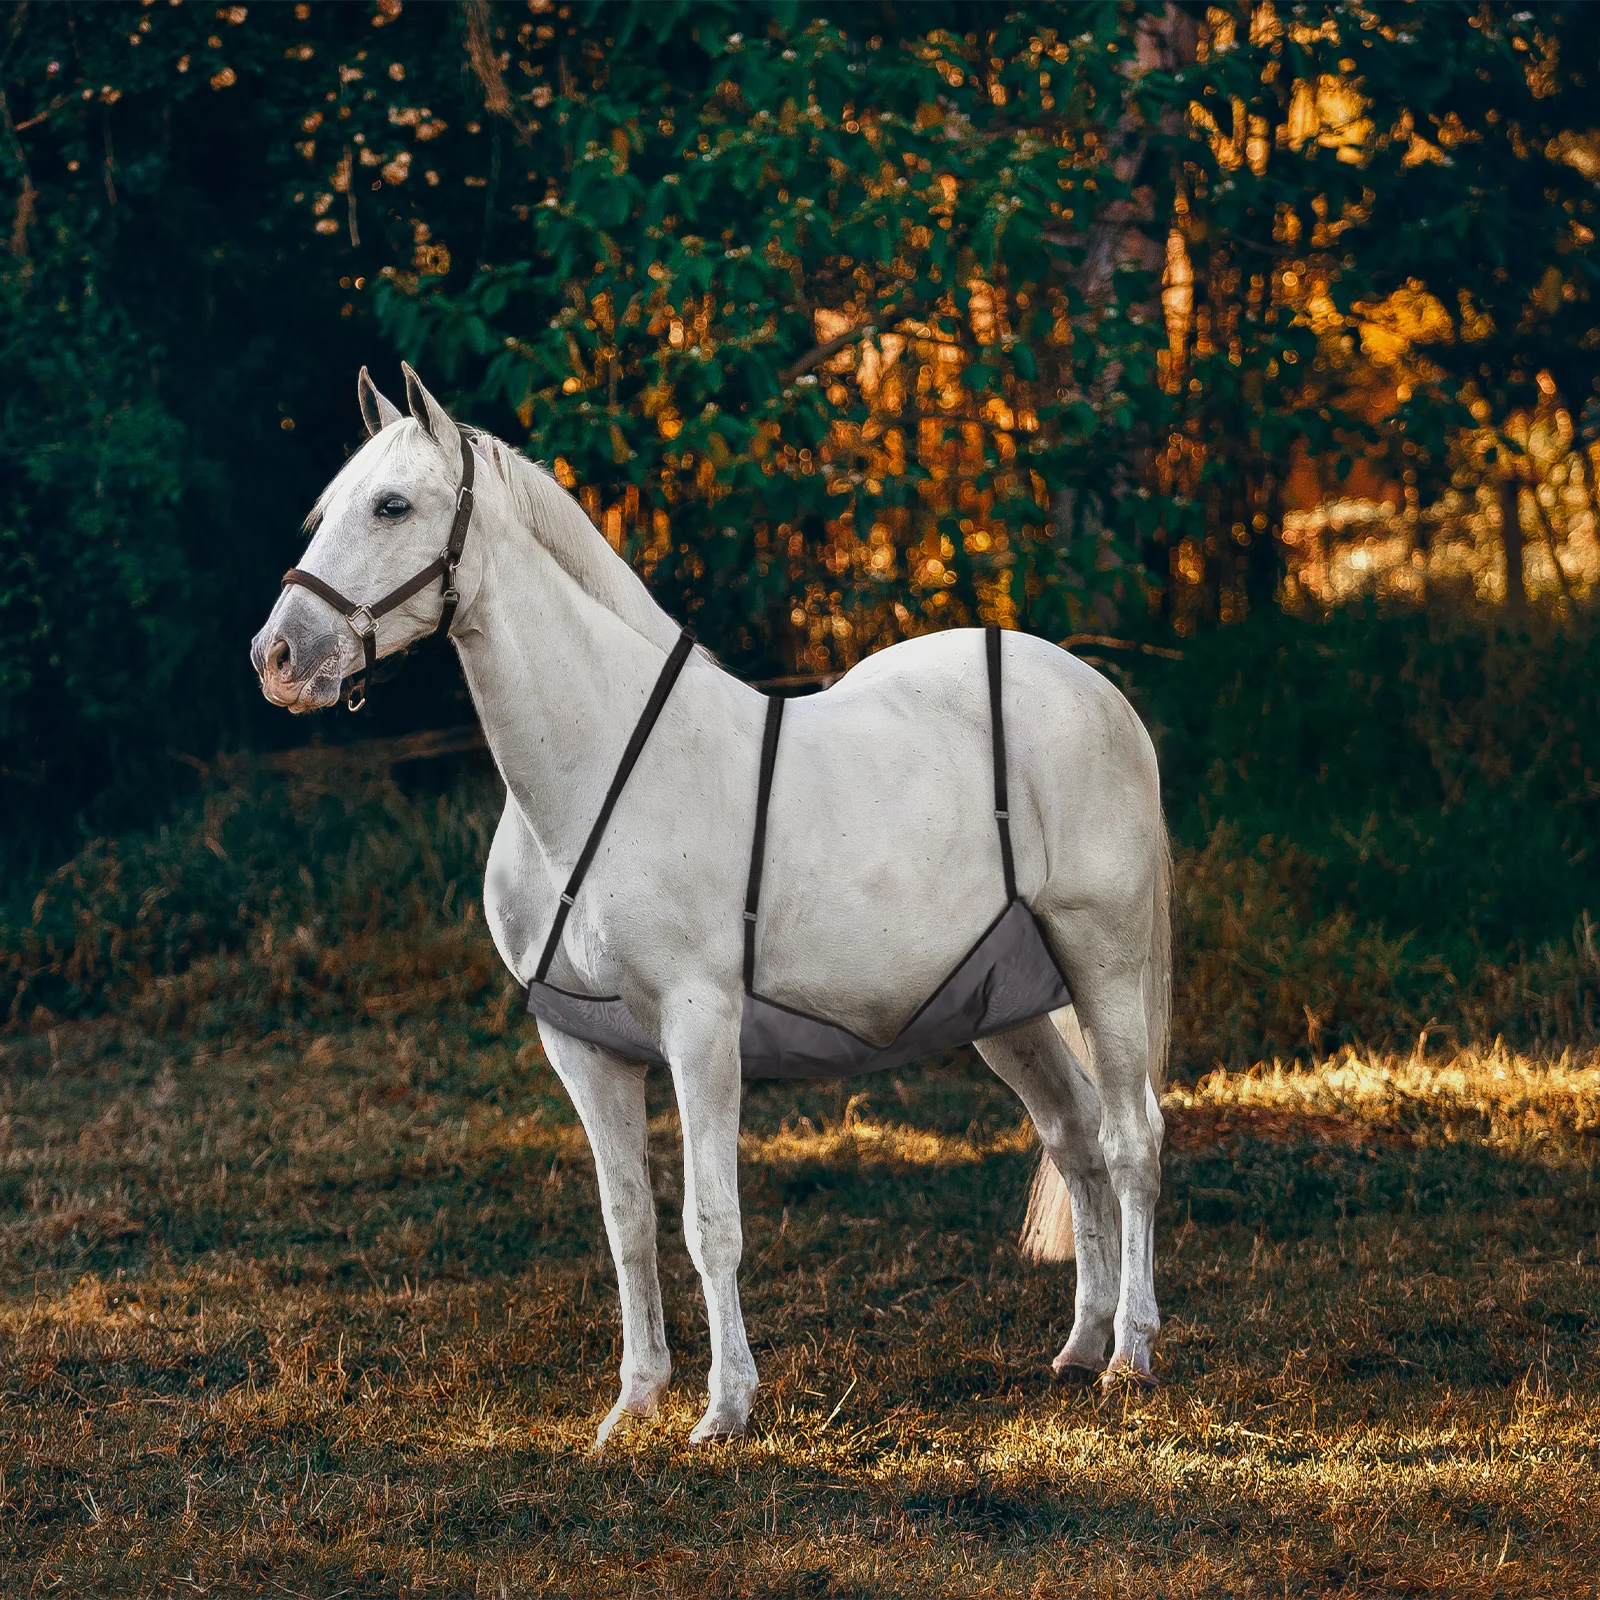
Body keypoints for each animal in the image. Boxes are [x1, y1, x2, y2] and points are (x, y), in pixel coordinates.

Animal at [250, 364, 1172, 1447]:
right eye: (326, 510)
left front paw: (724, 1407)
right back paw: (1078, 1345)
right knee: (1074, 1139)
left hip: (1103, 963)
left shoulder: (700, 1024)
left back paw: (1130, 1352)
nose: (277, 657)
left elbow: (709, 1221)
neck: (593, 780)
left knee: (1130, 1139)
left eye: (392, 505)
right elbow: (628, 1224)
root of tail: (1100, 694)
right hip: (1007, 1007)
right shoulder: (582, 1046)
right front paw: (634, 1402)